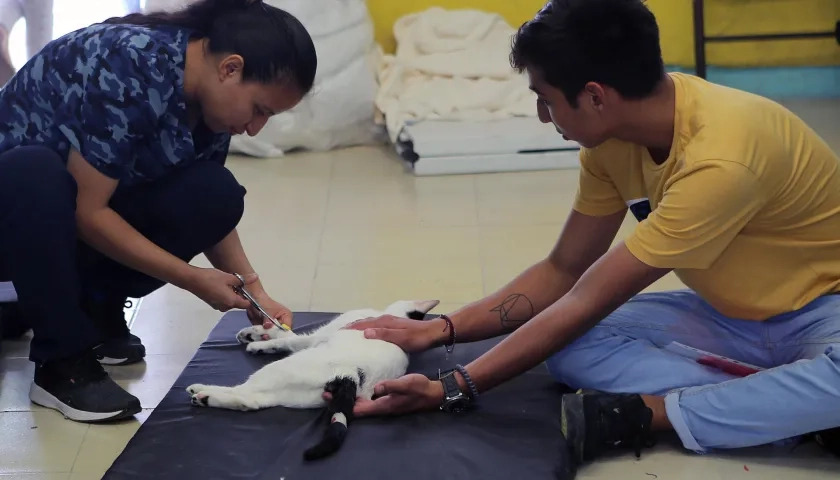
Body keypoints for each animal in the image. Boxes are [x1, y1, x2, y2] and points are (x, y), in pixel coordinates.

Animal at [185, 300, 440, 462]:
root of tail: (351, 376)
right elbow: (284, 336)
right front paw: (257, 335)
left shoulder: (315, 338)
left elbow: (288, 338)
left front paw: (259, 342)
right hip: (296, 393)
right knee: (254, 401)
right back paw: (206, 397)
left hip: (280, 370)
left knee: (247, 395)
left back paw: (203, 392)